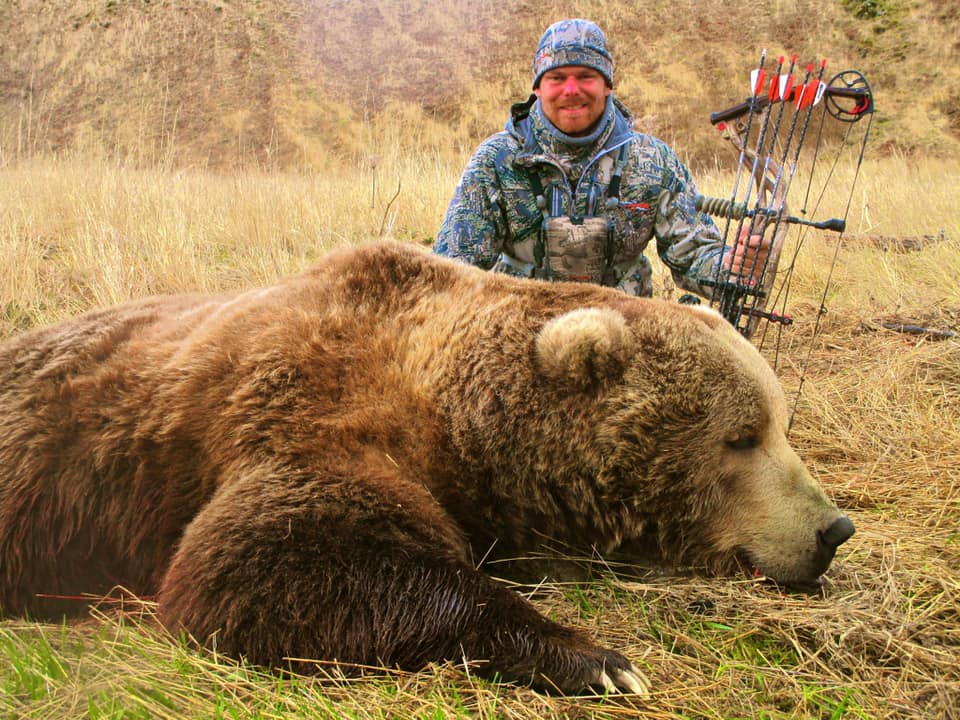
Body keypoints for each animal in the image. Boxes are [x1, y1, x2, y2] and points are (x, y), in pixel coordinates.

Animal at [0, 240, 854, 695]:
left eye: (780, 422)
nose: (832, 528)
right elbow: (256, 563)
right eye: (742, 437)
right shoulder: (311, 410)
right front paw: (600, 660)